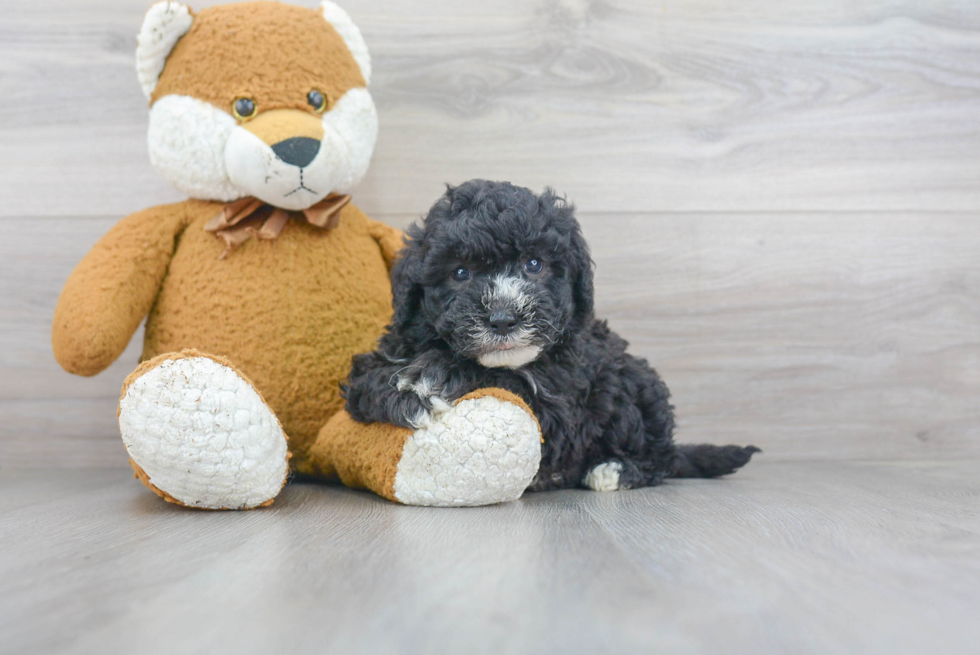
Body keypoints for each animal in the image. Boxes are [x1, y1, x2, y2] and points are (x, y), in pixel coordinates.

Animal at [342, 181, 756, 492]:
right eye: (460, 272)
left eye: (534, 264)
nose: (503, 318)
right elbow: (366, 380)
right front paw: (402, 389)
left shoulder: (560, 407)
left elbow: (503, 378)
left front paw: (433, 376)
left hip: (633, 386)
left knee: (661, 456)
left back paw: (614, 470)